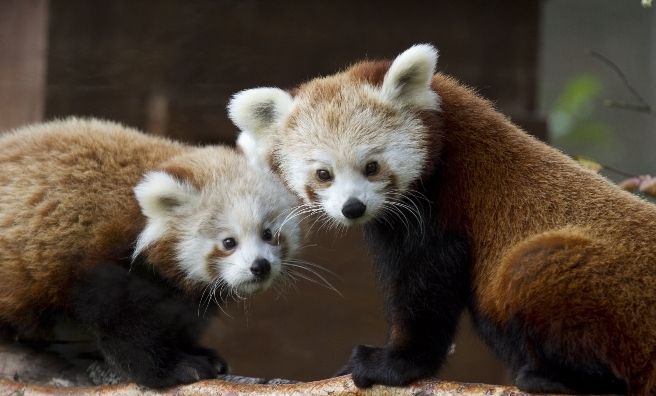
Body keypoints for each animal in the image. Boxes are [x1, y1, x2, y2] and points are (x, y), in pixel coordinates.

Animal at [0, 117, 302, 386]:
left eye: (268, 233)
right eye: (229, 242)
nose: (260, 266)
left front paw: (197, 352)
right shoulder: (99, 263)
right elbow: (123, 325)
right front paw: (176, 368)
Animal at [227, 44, 656, 394]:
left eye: (371, 166)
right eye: (323, 174)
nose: (353, 208)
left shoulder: (445, 206)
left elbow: (426, 290)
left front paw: (392, 365)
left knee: (532, 266)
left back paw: (555, 379)